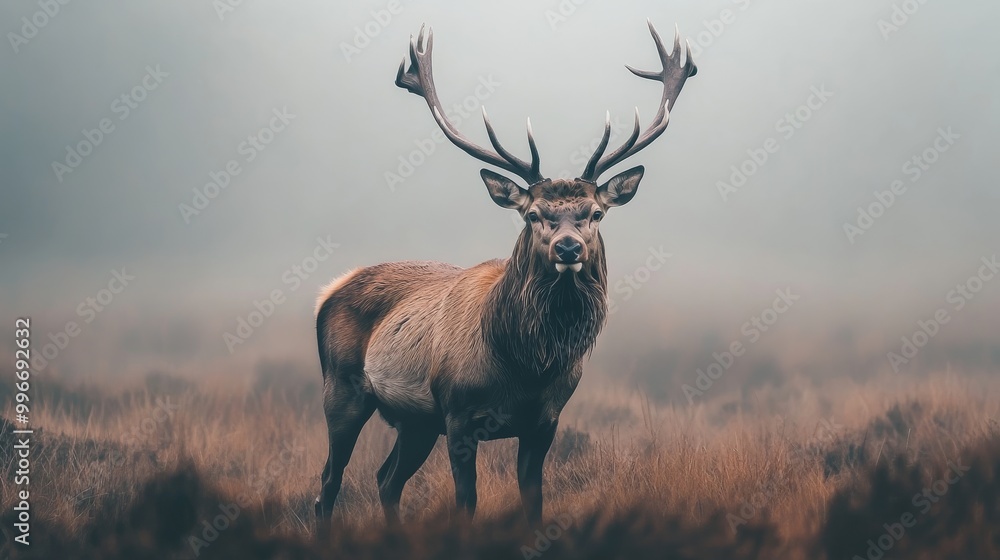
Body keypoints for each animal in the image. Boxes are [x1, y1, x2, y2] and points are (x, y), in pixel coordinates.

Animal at [314, 20, 696, 526]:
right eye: (533, 215)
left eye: (595, 213)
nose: (568, 247)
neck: (525, 366)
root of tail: (331, 289)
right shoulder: (457, 415)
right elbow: (466, 503)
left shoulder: (545, 421)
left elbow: (533, 502)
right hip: (342, 388)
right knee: (328, 483)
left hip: (415, 421)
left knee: (385, 479)